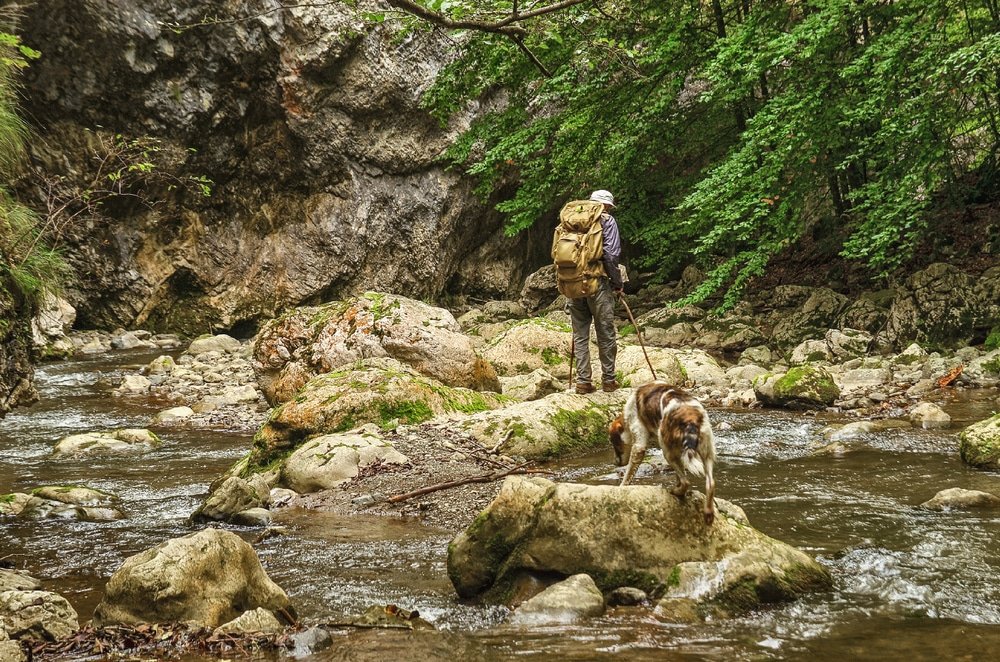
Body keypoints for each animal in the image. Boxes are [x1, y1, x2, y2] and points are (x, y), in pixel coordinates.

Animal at [604, 384, 716, 524]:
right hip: (707, 453)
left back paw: (677, 492)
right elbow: (679, 475)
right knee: (710, 484)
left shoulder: (638, 445)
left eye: (614, 442)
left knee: (686, 482)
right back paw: (708, 513)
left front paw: (621, 487)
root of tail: (690, 418)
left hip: (667, 451)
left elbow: (628, 475)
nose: (615, 463)